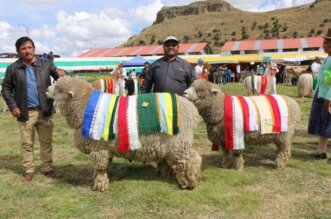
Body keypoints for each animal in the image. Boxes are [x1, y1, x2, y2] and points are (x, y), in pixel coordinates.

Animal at [46, 76, 202, 191]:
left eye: (59, 88)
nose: (47, 89)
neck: (84, 108)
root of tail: (193, 111)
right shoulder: (106, 147)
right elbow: (103, 166)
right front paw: (98, 179)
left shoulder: (98, 146)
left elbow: (99, 166)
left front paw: (99, 185)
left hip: (179, 142)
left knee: (192, 159)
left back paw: (189, 182)